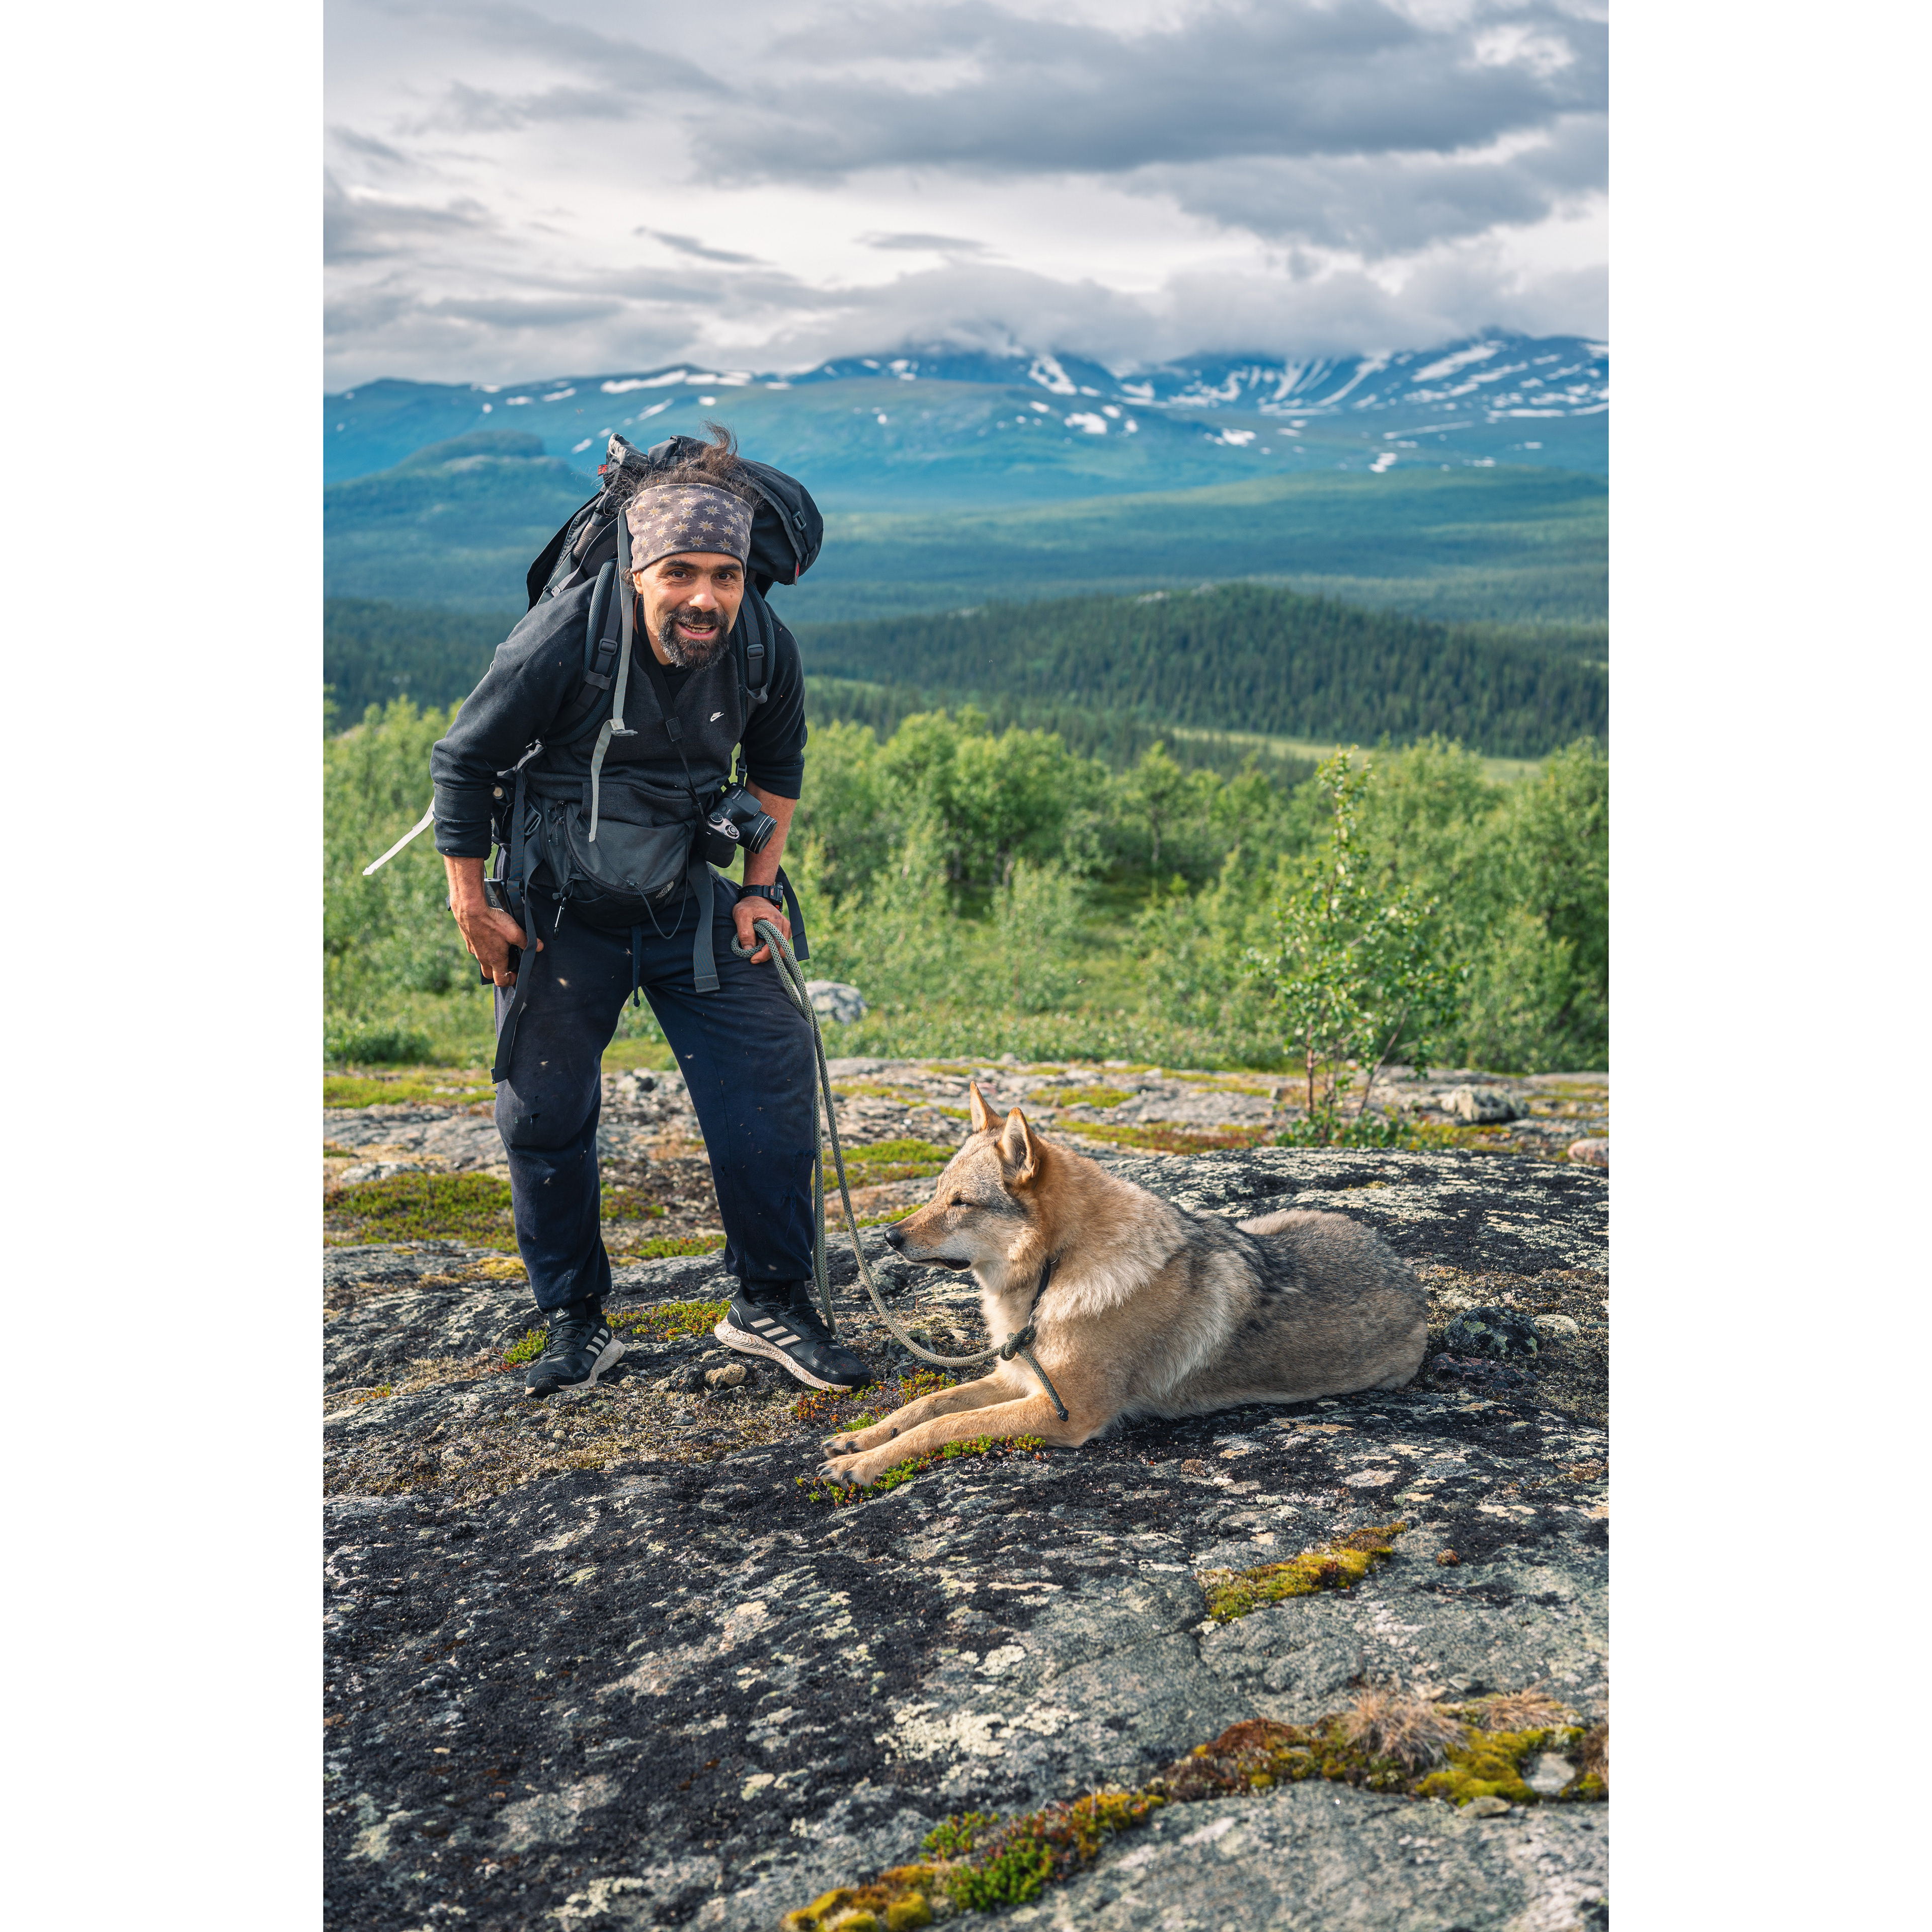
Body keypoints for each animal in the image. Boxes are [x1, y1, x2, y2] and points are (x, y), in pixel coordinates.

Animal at [817, 1082, 1428, 1489]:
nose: (888, 1237)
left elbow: (942, 1427)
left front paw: (860, 1466)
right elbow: (927, 1407)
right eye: (937, 1191)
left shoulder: (1062, 1412)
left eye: (960, 1203)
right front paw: (861, 1439)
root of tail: (1404, 1269)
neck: (1058, 1268)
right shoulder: (1015, 1379)